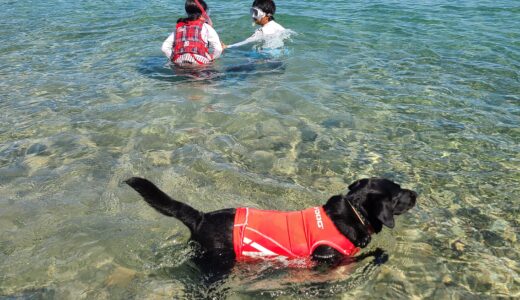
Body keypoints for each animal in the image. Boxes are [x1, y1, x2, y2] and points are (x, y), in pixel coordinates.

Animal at [124, 178, 416, 274]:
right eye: (398, 194)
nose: (416, 194)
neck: (354, 213)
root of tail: (201, 216)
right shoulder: (328, 260)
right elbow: (365, 256)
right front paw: (380, 255)